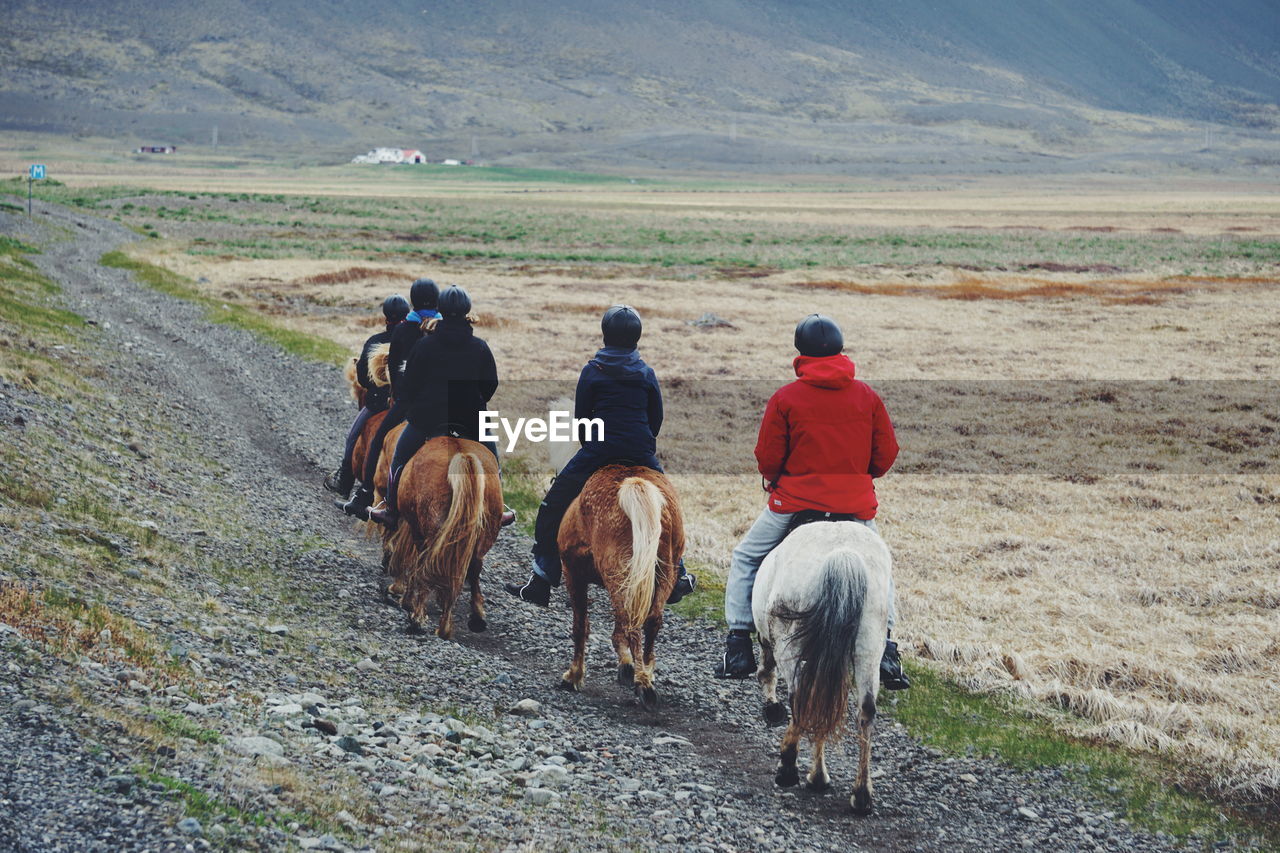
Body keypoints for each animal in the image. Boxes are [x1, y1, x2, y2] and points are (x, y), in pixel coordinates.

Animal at [378, 435, 499, 635]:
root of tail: (462, 455)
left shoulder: (415, 528)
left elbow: (412, 559)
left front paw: (402, 594)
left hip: (430, 533)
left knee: (426, 565)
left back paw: (418, 618)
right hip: (482, 536)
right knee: (472, 568)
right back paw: (466, 620)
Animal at [558, 461, 686, 706]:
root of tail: (634, 484)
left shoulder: (573, 573)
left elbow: (580, 626)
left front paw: (574, 676)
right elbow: (618, 629)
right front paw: (626, 665)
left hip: (618, 574)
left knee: (633, 625)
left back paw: (643, 684)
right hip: (664, 572)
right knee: (651, 620)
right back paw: (646, 672)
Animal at [747, 517, 890, 809]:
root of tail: (842, 556)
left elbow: (767, 672)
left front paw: (772, 708)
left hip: (789, 640)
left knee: (800, 698)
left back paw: (790, 768)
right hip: (870, 647)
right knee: (864, 710)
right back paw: (860, 794)